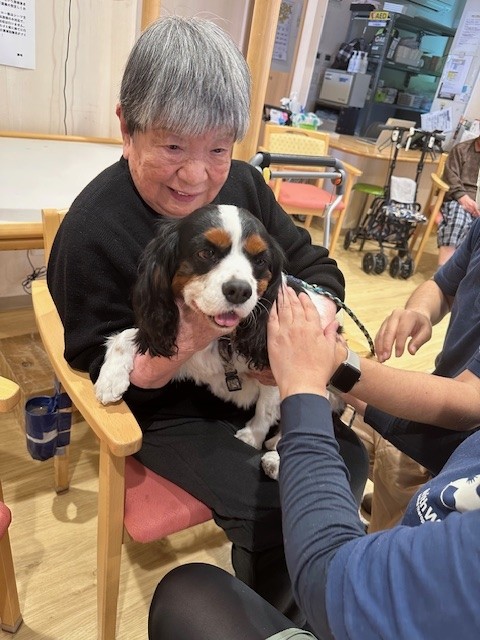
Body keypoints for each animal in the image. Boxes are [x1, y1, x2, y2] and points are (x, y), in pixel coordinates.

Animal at [94, 204, 337, 479]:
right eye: (206, 253)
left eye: (260, 261)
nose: (240, 290)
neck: (222, 337)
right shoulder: (182, 355)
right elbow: (125, 337)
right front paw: (110, 379)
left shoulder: (278, 369)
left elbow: (270, 409)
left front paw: (252, 437)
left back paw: (276, 455)